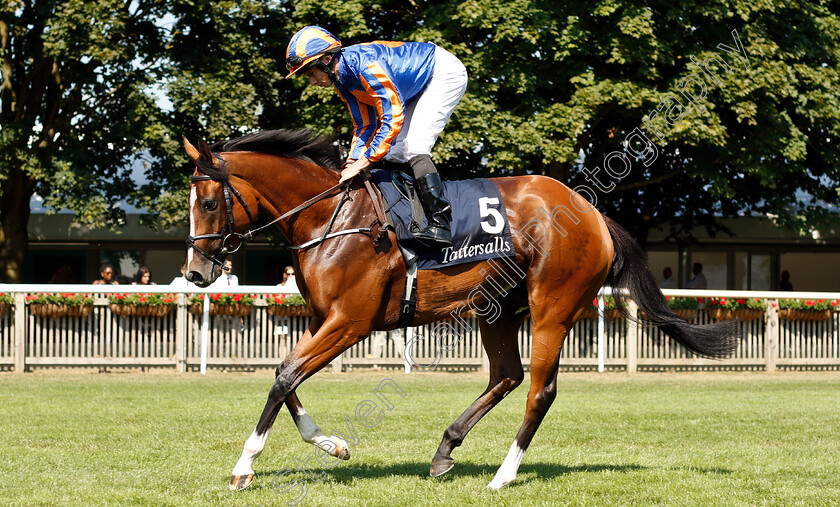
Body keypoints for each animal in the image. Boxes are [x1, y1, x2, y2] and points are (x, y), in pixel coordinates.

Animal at [180, 129, 740, 490]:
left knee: (540, 391)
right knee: (507, 375)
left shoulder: (349, 323)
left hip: (553, 306)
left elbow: (283, 377)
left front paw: (244, 466)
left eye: (207, 203)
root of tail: (594, 214)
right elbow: (287, 379)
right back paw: (445, 450)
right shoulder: (323, 320)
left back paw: (504, 475)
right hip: (498, 309)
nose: (195, 273)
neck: (330, 218)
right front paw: (332, 444)